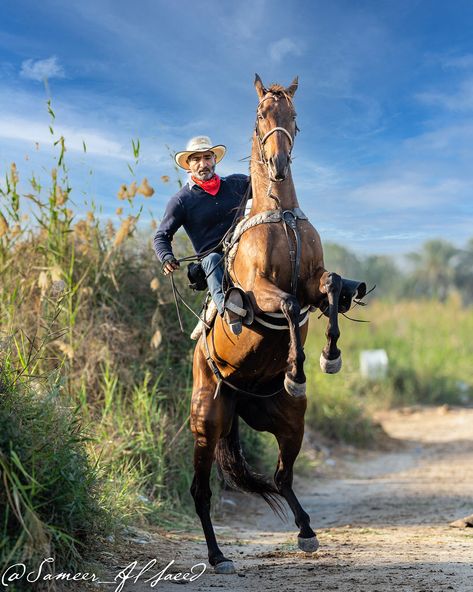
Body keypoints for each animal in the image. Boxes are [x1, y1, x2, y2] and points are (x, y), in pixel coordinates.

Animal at [190, 74, 360, 572]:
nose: (280, 164)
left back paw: (306, 531)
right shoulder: (261, 290)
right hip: (206, 421)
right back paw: (217, 556)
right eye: (260, 115)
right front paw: (298, 369)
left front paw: (328, 356)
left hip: (288, 423)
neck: (280, 216)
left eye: (293, 117)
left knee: (283, 477)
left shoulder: (314, 280)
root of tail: (237, 394)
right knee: (201, 492)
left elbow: (330, 286)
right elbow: (284, 305)